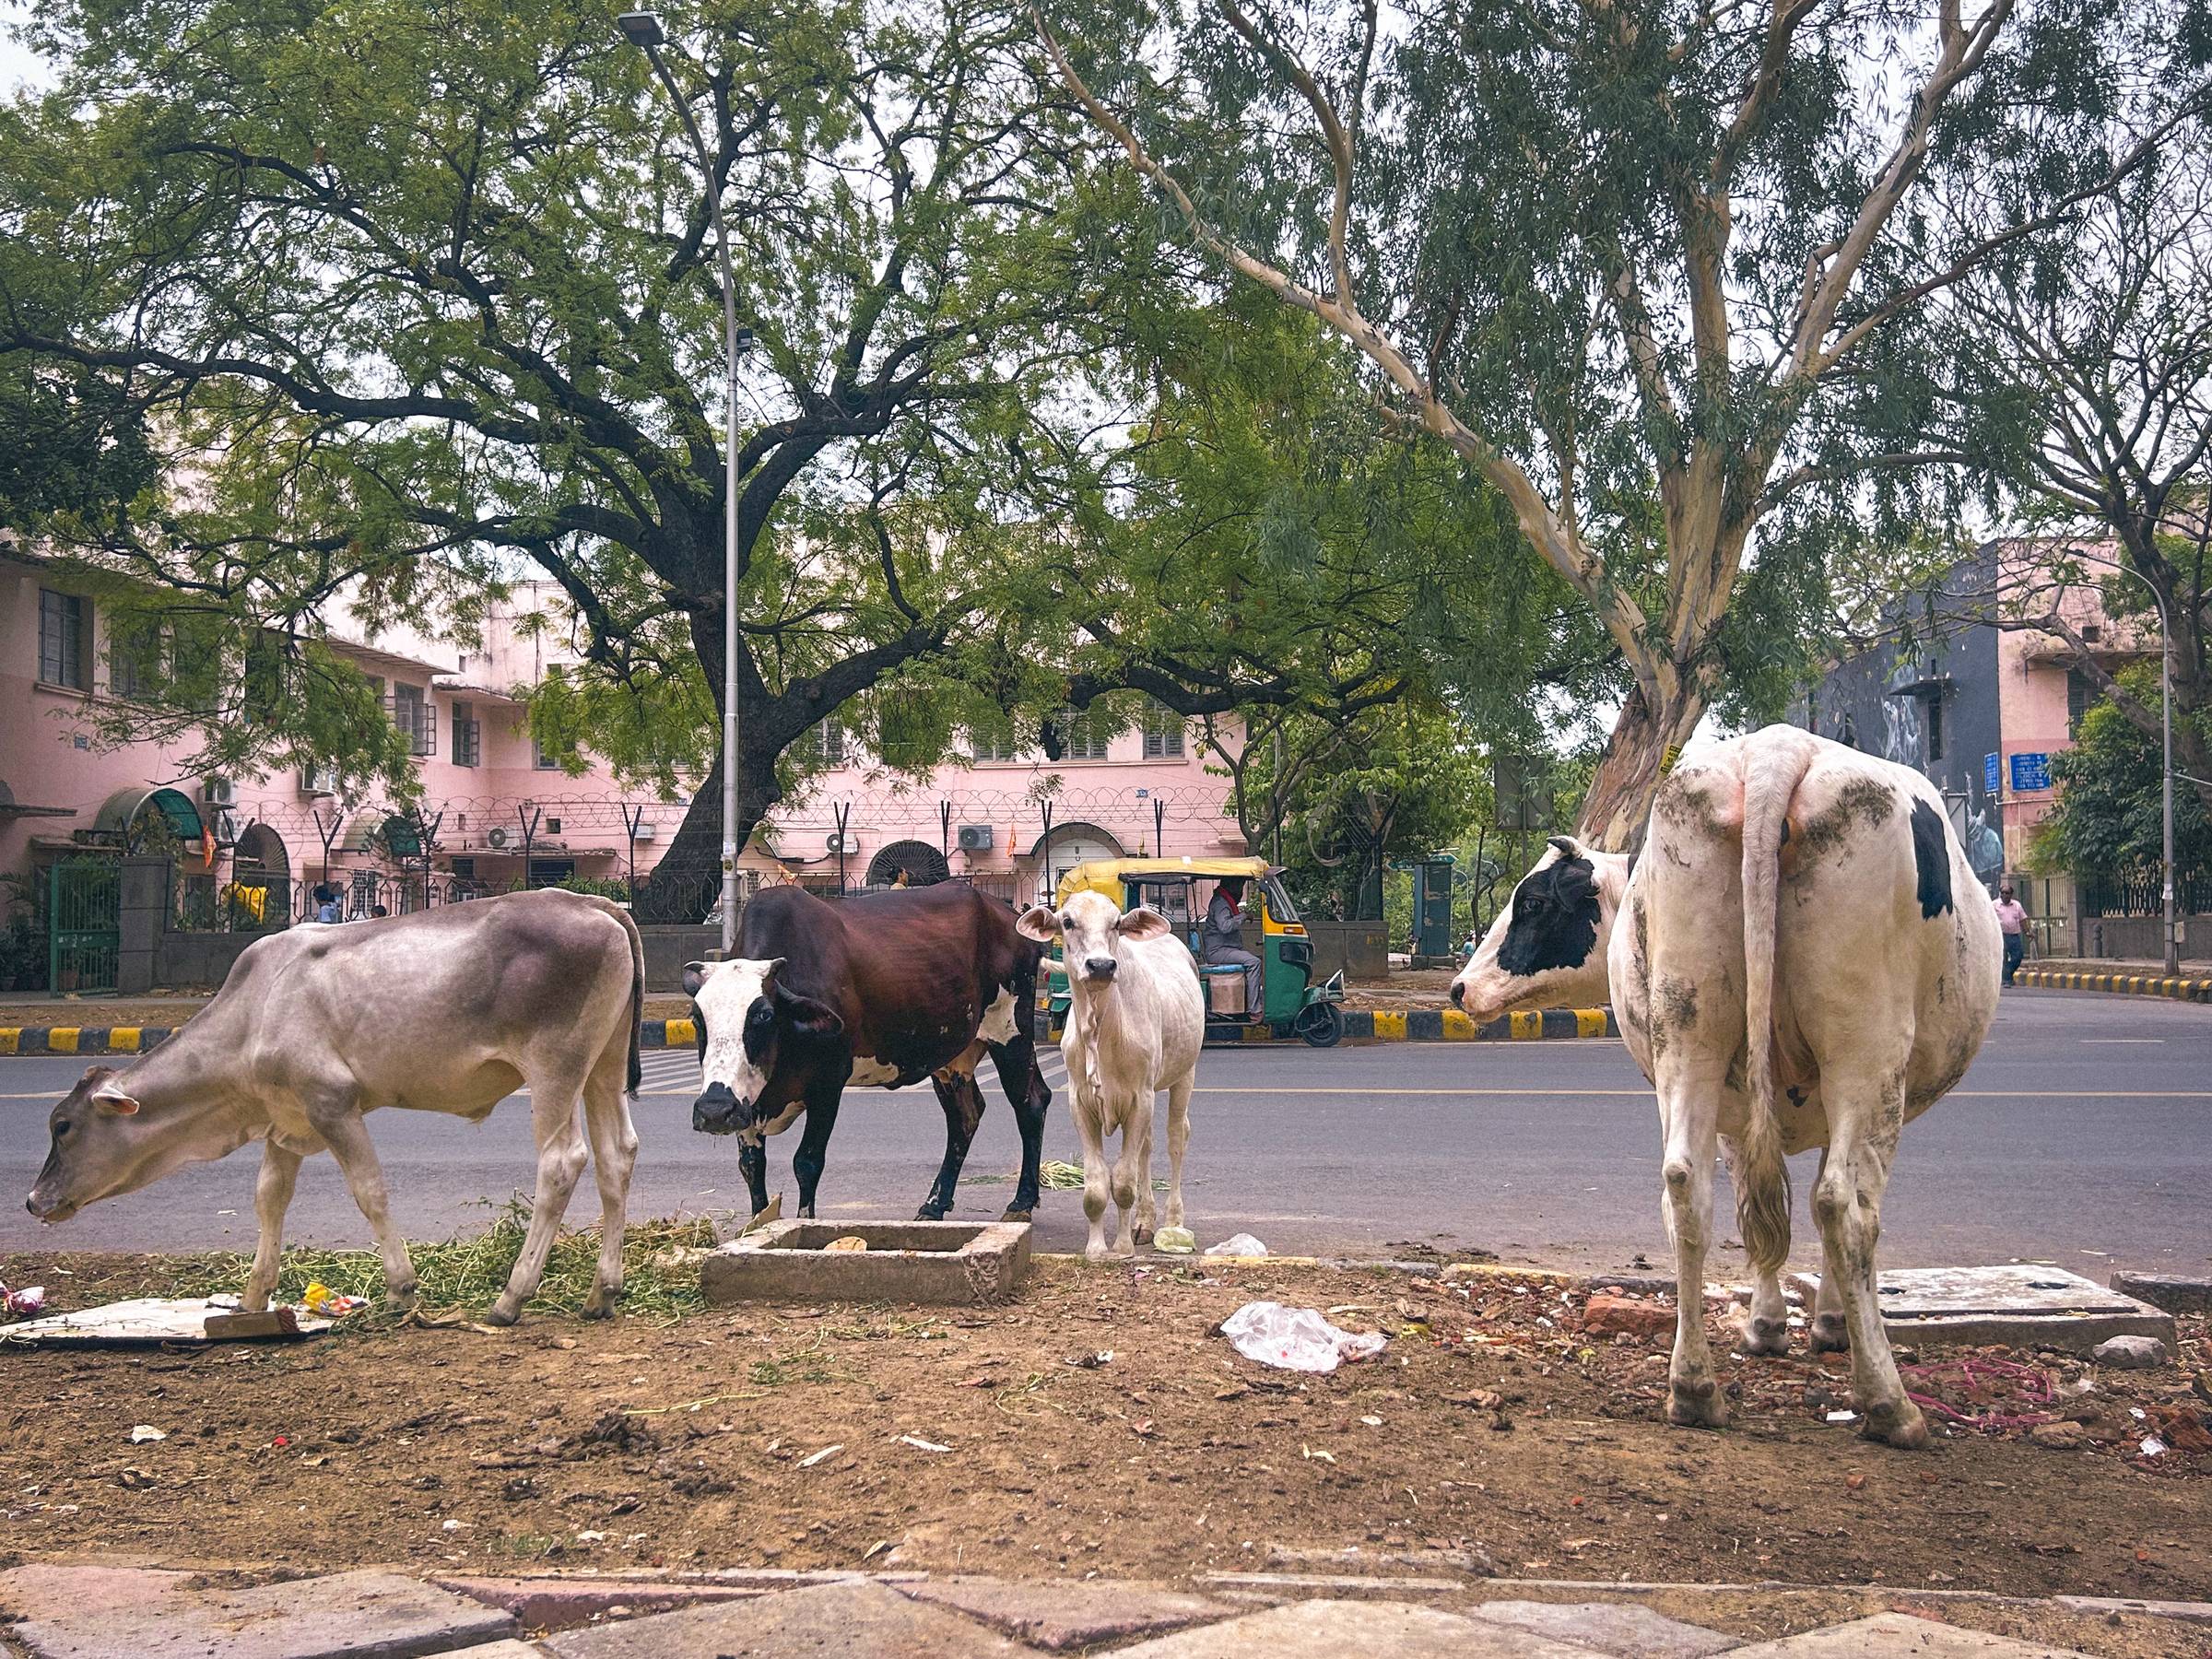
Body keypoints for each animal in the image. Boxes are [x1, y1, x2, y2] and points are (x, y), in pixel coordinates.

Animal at [26, 889, 645, 1324]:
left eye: (63, 1126)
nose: (33, 1201)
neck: (253, 1013)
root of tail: (595, 903)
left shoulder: (332, 1104)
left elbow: (369, 1191)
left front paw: (401, 1288)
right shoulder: (285, 1121)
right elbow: (268, 1199)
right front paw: (252, 1296)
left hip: (554, 1069)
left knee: (562, 1162)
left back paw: (511, 1297)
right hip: (603, 1065)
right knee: (617, 1155)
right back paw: (602, 1292)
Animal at [684, 882, 1052, 1222]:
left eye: (763, 1015)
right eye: (697, 1019)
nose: (714, 1109)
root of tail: (1007, 913)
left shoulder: (828, 1086)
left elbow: (807, 1162)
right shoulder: (747, 1106)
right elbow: (752, 1166)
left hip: (1010, 1032)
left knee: (1031, 1101)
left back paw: (1021, 1202)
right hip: (949, 1057)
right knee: (965, 1117)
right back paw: (934, 1204)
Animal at [1017, 894, 1203, 1260]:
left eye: (1117, 923)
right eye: (1068, 922)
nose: (1101, 966)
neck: (1102, 1028)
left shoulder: (1140, 1097)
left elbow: (1124, 1183)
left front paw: (1122, 1247)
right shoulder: (1080, 1102)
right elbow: (1096, 1186)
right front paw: (1096, 1248)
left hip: (1184, 1074)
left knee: (1176, 1138)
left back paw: (1174, 1221)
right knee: (1147, 1146)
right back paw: (1144, 1221)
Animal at [1450, 727, 2000, 1448]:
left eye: (1533, 902)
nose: (1460, 988)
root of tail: (1775, 753)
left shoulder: (1735, 1105)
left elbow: (1751, 1200)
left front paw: (1772, 1325)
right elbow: (1810, 1206)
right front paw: (1826, 1325)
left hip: (1692, 1031)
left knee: (1687, 1187)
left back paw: (1693, 1388)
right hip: (1867, 1048)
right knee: (1845, 1205)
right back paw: (1888, 1402)